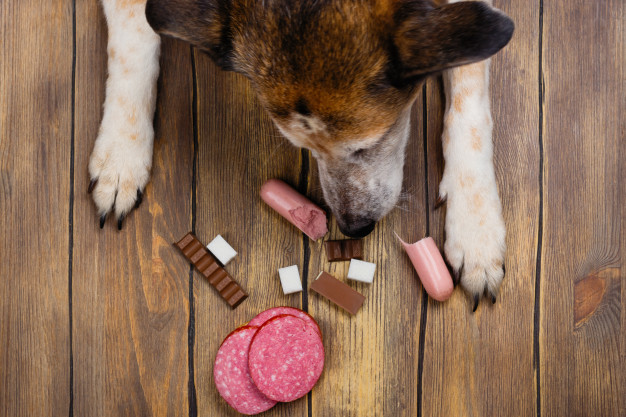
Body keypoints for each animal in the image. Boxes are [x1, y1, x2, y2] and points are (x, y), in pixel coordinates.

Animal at [90, 0, 516, 306]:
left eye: (367, 145)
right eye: (304, 150)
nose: (354, 228)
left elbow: (469, 101)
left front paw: (475, 228)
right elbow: (132, 45)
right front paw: (121, 156)